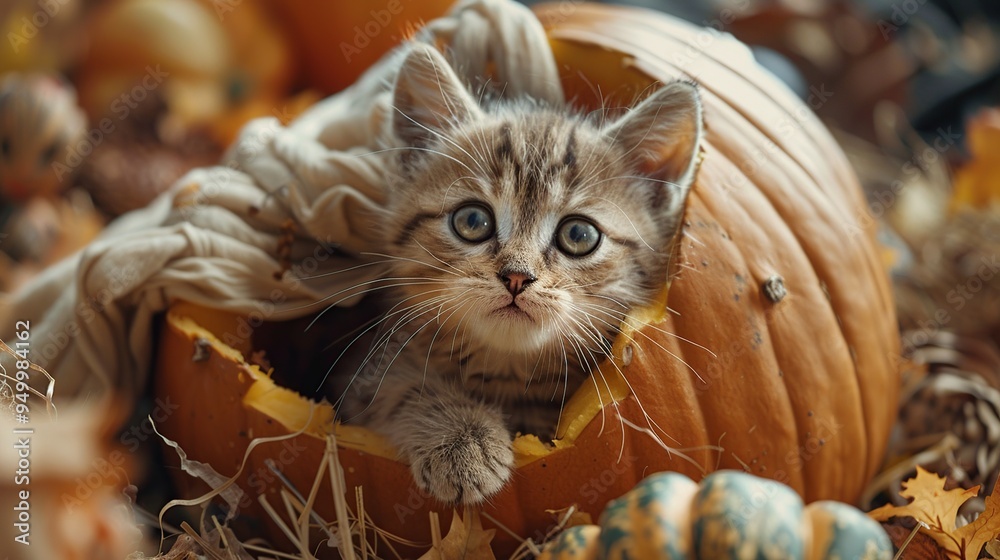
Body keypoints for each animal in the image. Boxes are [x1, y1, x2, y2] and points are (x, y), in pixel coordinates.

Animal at [330, 46, 704, 506]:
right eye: (472, 221)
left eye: (579, 235)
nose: (516, 277)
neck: (505, 370)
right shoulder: (362, 375)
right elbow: (401, 386)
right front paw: (462, 439)